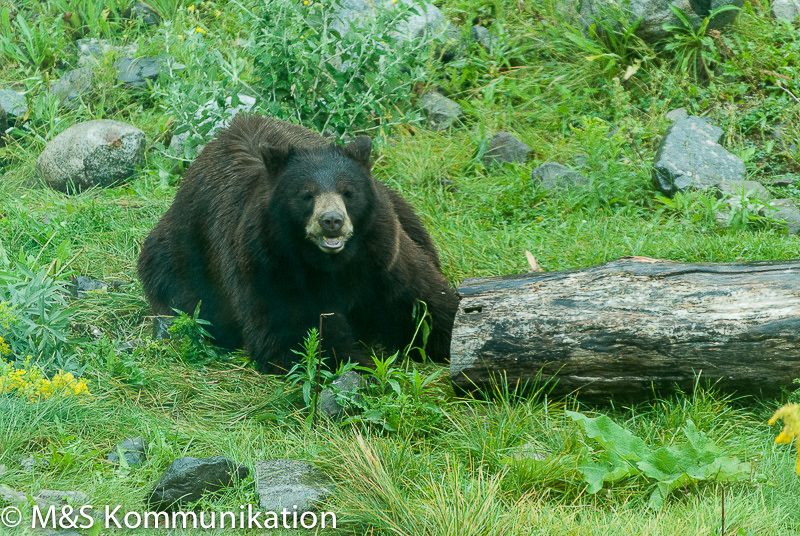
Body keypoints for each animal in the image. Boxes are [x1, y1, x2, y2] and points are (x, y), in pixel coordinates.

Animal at [137, 114, 460, 372]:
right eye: (307, 194)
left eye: (348, 191)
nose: (332, 220)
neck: (331, 264)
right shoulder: (269, 268)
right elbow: (298, 332)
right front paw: (361, 366)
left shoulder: (382, 255)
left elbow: (424, 300)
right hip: (178, 259)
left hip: (402, 209)